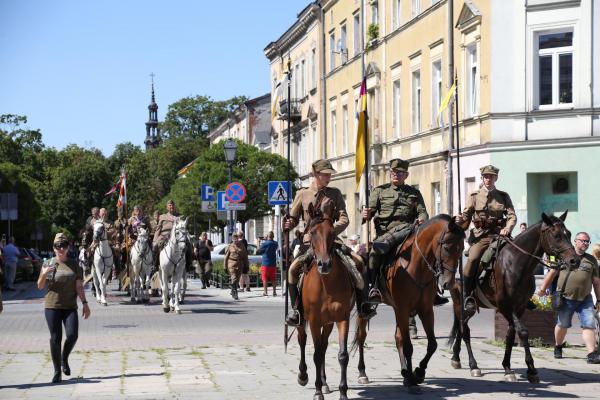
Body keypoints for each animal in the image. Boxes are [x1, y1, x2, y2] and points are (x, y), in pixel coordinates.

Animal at [296, 203, 356, 400]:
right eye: (313, 232)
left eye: (332, 232)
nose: (325, 264)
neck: (326, 284)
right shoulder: (314, 321)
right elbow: (315, 354)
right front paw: (317, 392)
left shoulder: (342, 319)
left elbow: (342, 355)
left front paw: (343, 392)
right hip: (302, 320)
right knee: (303, 340)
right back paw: (303, 376)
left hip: (328, 323)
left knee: (323, 346)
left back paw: (324, 382)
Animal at [354, 216, 466, 388]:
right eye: (447, 247)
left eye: (461, 249)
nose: (448, 283)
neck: (417, 265)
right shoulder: (403, 308)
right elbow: (408, 346)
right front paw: (413, 376)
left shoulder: (425, 310)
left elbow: (432, 344)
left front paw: (418, 372)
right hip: (365, 308)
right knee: (361, 337)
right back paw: (362, 372)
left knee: (398, 337)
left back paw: (404, 371)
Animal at [448, 209, 580, 382]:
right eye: (556, 235)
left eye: (568, 234)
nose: (575, 261)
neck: (516, 263)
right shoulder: (505, 306)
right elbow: (523, 332)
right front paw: (531, 369)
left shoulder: (519, 307)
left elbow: (510, 335)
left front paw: (507, 367)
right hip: (461, 303)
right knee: (465, 330)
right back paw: (473, 365)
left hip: (466, 308)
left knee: (461, 327)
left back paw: (456, 358)